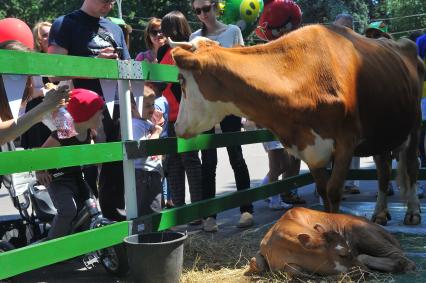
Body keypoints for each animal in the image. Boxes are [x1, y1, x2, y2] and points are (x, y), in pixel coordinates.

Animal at [171, 24, 424, 226]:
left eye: (181, 80)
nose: (176, 127)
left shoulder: (346, 143)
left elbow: (333, 191)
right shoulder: (309, 148)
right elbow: (323, 191)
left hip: (414, 125)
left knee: (412, 167)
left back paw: (412, 212)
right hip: (381, 133)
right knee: (383, 170)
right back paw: (380, 213)